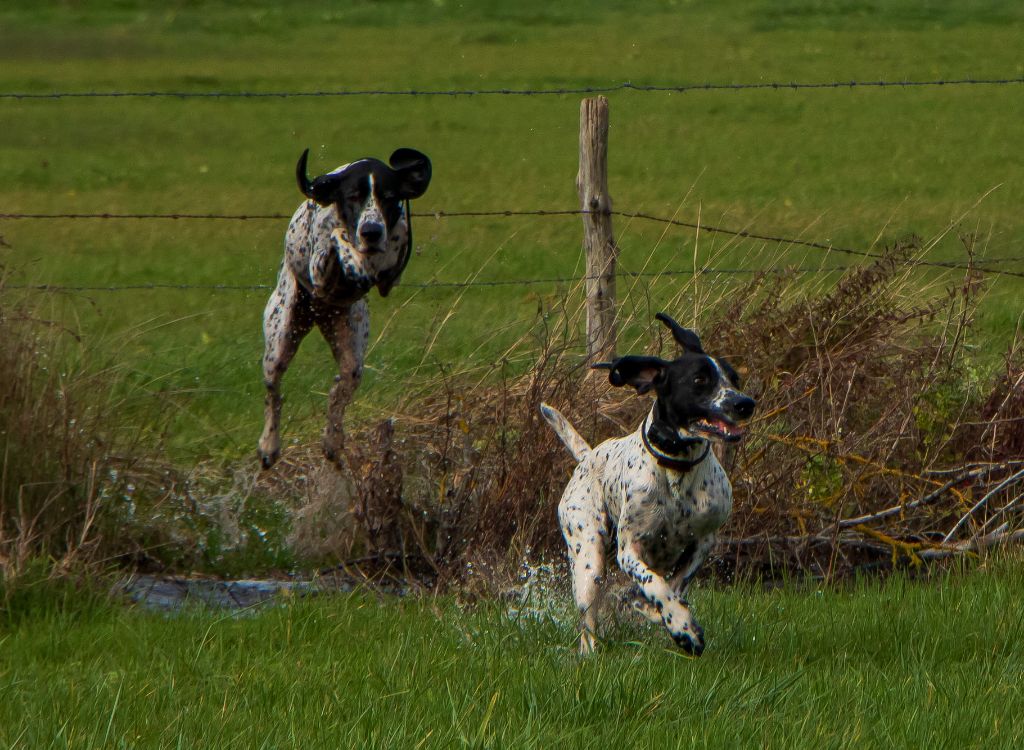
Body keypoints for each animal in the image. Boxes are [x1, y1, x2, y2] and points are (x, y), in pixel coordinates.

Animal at [260, 147, 432, 469]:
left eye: (389, 196)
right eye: (352, 196)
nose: (371, 231)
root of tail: (316, 316)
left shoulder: (392, 274)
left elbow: (388, 256)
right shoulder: (320, 270)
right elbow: (336, 235)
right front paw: (353, 256)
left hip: (352, 351)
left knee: (338, 391)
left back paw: (332, 440)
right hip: (279, 341)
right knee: (273, 395)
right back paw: (269, 445)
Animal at [544, 313, 753, 651]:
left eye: (734, 379)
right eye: (699, 380)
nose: (745, 403)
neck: (677, 469)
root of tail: (587, 456)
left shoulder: (704, 541)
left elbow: (674, 585)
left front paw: (658, 611)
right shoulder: (629, 550)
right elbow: (656, 585)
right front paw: (683, 627)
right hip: (589, 560)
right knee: (588, 618)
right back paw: (590, 651)